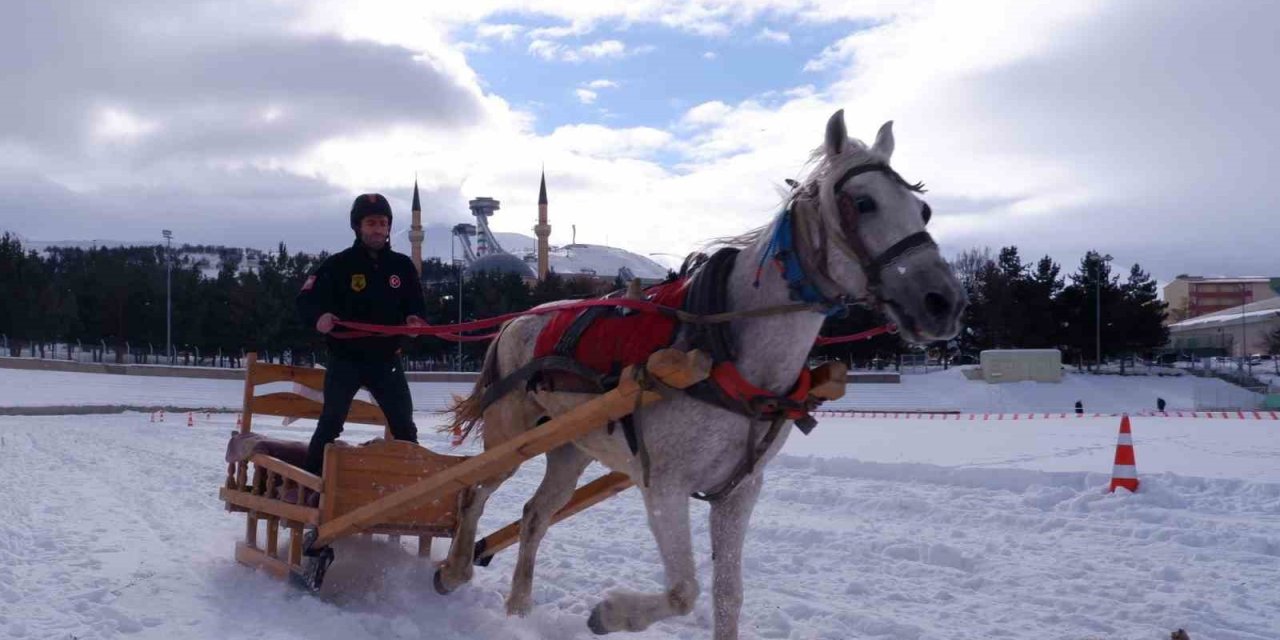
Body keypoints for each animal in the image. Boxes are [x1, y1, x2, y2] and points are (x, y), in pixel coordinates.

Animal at [435, 111, 962, 640]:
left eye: (924, 210)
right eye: (863, 202)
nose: (944, 301)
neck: (725, 347)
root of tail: (516, 321)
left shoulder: (739, 491)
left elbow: (727, 597)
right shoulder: (664, 485)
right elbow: (683, 591)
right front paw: (610, 613)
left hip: (570, 448)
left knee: (533, 517)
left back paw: (518, 609)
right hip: (510, 437)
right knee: (470, 493)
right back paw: (454, 570)